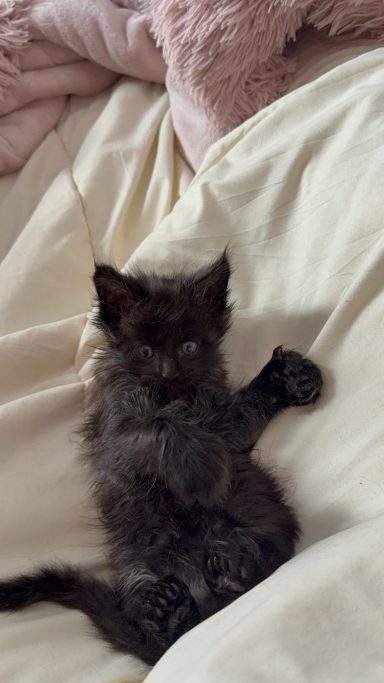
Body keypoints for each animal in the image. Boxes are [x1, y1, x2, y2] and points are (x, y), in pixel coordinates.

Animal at [0, 251, 322, 664]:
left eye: (188, 347)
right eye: (146, 352)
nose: (168, 372)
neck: (173, 398)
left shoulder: (227, 431)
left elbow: (244, 412)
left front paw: (288, 377)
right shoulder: (117, 436)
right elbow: (159, 427)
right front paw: (199, 471)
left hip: (261, 511)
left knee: (266, 555)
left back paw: (231, 565)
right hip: (133, 560)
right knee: (159, 617)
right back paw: (169, 609)